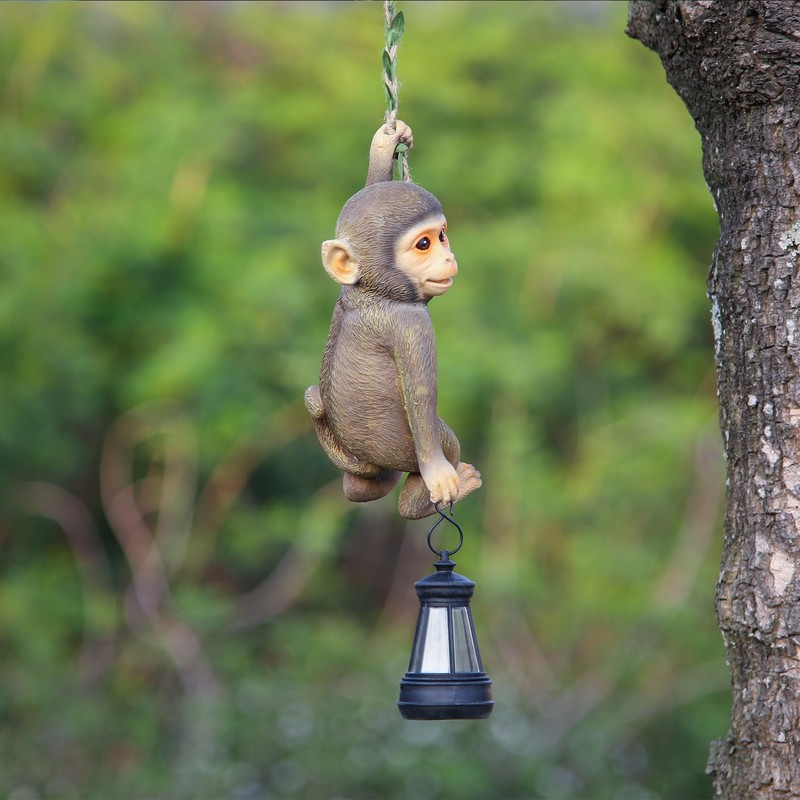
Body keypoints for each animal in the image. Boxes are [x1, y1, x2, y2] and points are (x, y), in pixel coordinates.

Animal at [305, 122, 481, 520]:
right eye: (424, 245)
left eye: (442, 236)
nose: (448, 257)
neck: (375, 291)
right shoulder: (411, 323)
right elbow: (420, 393)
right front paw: (439, 476)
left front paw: (384, 146)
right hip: (400, 448)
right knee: (438, 453)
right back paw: (436, 493)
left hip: (369, 461)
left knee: (363, 486)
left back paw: (363, 485)